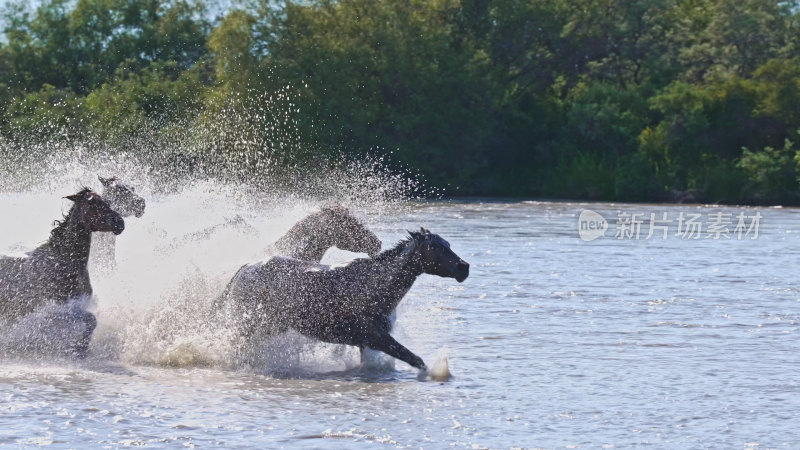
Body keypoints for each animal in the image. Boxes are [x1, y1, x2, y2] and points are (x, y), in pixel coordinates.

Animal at [0, 187, 125, 356]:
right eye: (92, 203)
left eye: (107, 201)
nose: (120, 223)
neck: (64, 260)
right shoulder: (55, 310)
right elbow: (91, 320)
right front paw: (78, 349)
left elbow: (91, 323)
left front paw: (81, 349)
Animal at [219, 229, 468, 372]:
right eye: (435, 246)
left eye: (448, 243)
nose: (463, 267)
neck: (375, 286)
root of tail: (244, 269)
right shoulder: (376, 337)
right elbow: (415, 359)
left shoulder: (367, 343)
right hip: (248, 325)